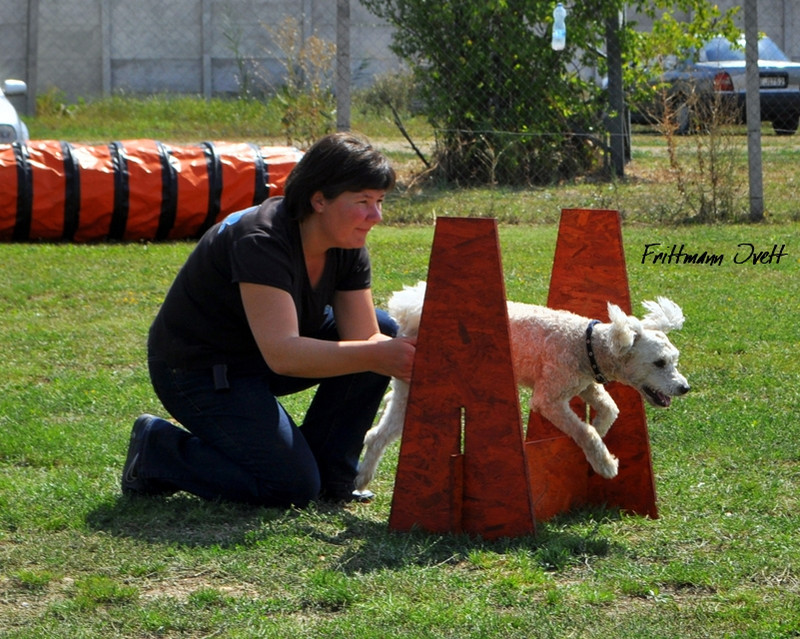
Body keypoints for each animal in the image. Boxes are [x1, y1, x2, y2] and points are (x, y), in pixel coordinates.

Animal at [356, 282, 688, 492]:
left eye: (674, 359)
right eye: (659, 363)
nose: (684, 388)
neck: (586, 345)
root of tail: (412, 311)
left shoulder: (583, 386)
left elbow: (609, 410)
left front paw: (600, 434)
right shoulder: (548, 399)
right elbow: (584, 431)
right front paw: (605, 463)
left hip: (408, 389)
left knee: (377, 433)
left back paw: (362, 477)